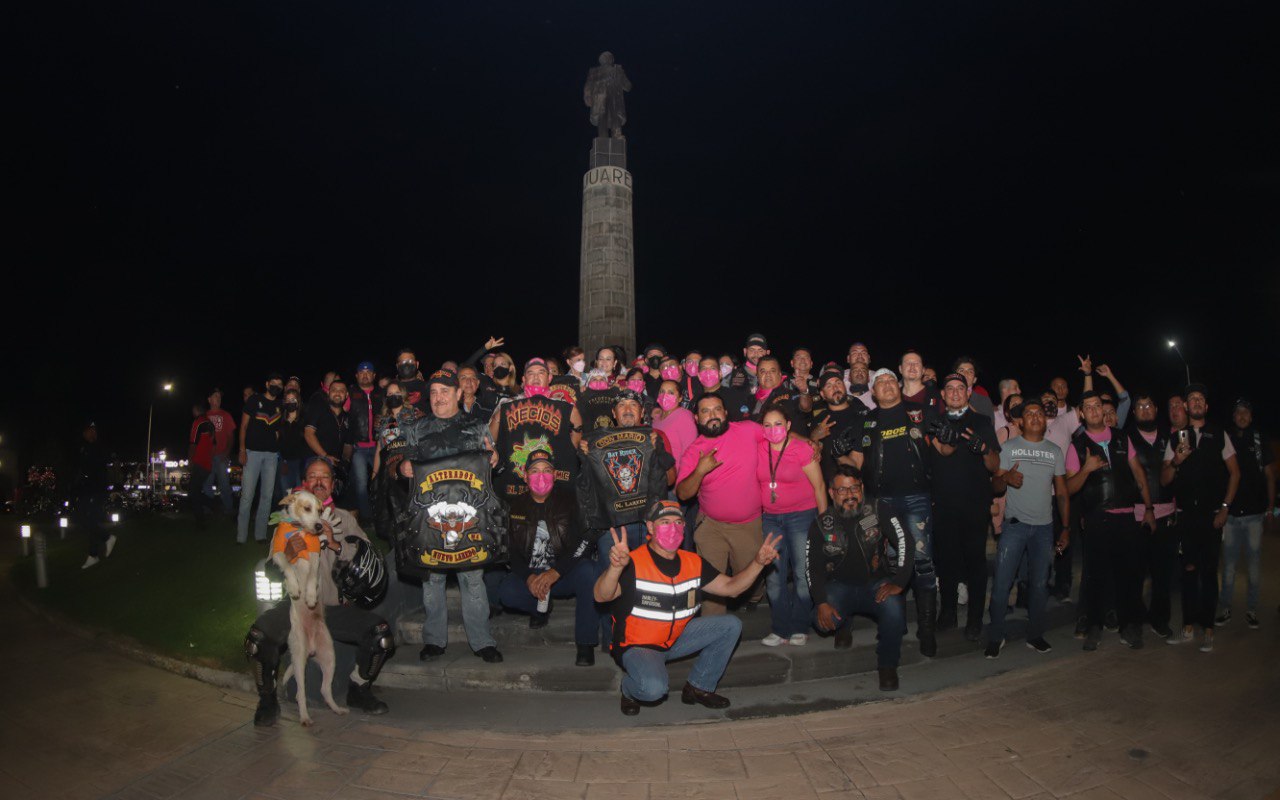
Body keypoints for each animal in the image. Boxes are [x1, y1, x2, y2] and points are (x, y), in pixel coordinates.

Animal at [271, 488, 350, 727]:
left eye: (320, 510)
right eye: (307, 508)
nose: (318, 526)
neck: (300, 530)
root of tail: (312, 647)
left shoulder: (315, 554)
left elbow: (312, 576)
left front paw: (311, 595)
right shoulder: (279, 552)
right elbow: (288, 567)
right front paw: (295, 588)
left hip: (330, 657)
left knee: (325, 690)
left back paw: (336, 709)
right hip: (298, 658)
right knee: (301, 692)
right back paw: (305, 716)